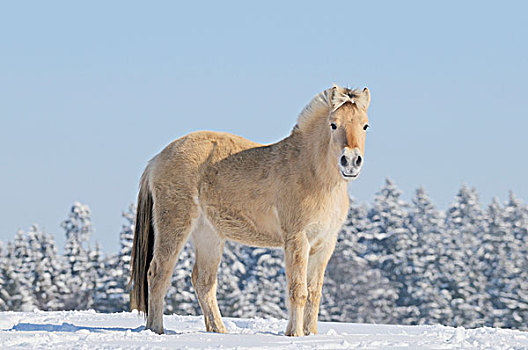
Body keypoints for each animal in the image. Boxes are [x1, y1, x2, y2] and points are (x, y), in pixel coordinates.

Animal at [129, 84, 370, 336]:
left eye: (365, 125)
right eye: (333, 124)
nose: (350, 161)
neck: (313, 175)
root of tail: (156, 160)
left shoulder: (324, 244)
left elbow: (314, 293)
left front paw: (310, 334)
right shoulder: (297, 239)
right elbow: (298, 291)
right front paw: (294, 334)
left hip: (208, 234)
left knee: (203, 281)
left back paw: (219, 331)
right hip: (175, 224)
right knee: (158, 273)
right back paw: (156, 330)